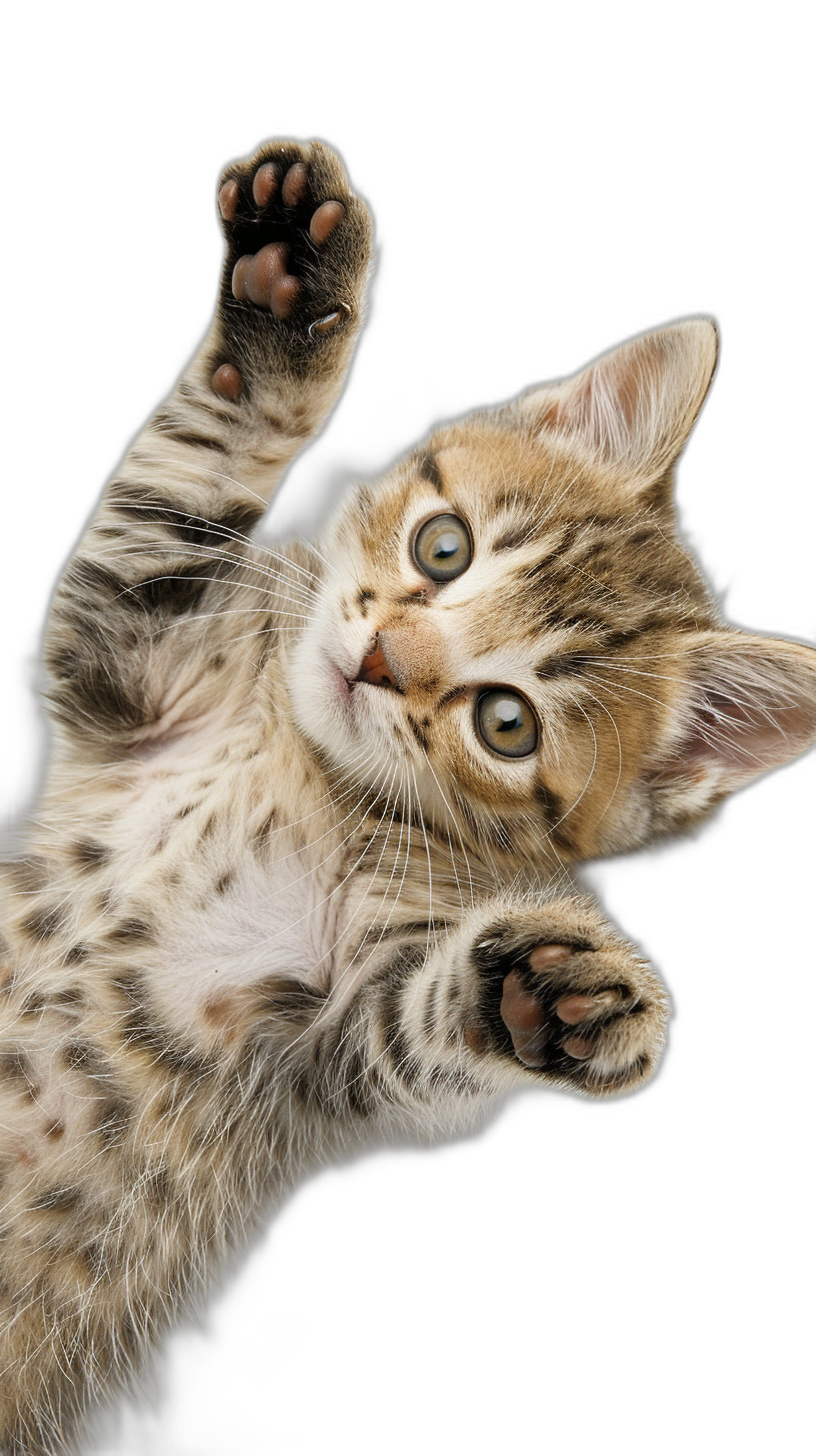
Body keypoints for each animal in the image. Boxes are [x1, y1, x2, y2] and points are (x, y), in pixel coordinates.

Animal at [1, 136, 816, 1456]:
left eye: (506, 722)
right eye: (446, 547)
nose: (383, 660)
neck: (309, 768)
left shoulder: (322, 1034)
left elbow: (414, 1023)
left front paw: (560, 989)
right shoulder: (127, 653)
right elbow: (186, 473)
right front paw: (288, 292)